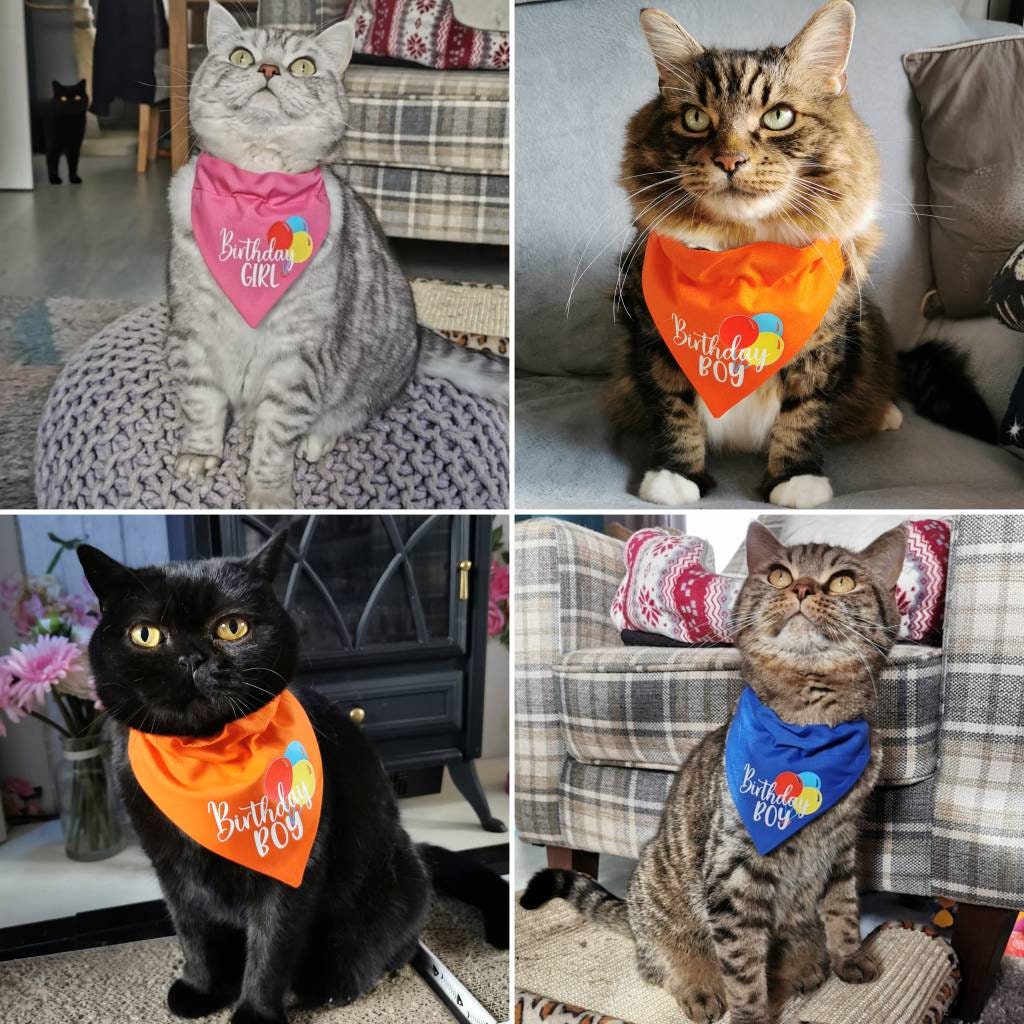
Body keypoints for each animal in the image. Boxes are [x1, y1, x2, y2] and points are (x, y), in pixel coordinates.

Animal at [76, 536, 507, 1024]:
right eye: (145, 634)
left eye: (233, 628)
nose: (192, 659)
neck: (208, 756)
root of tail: (413, 849)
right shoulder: (172, 871)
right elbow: (193, 934)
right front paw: (203, 989)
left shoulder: (294, 874)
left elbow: (271, 949)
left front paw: (254, 1014)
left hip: (398, 885)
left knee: (395, 946)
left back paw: (343, 981)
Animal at [169, 2, 505, 505]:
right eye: (242, 57)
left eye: (303, 66)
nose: (268, 70)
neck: (255, 195)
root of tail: (418, 335)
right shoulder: (194, 333)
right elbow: (201, 401)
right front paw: (199, 453)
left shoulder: (299, 355)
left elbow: (275, 439)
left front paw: (268, 493)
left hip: (369, 380)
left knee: (352, 412)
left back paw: (317, 436)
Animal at [520, 524, 905, 1024]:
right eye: (779, 575)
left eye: (842, 581)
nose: (802, 588)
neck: (809, 727)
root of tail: (631, 913)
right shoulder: (735, 873)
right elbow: (742, 965)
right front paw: (751, 1017)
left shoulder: (840, 849)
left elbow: (843, 912)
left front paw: (849, 956)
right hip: (660, 903)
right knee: (662, 960)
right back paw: (699, 986)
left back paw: (803, 966)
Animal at [606, 1, 991, 507]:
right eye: (695, 119)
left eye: (778, 117)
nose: (729, 161)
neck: (742, 252)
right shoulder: (653, 341)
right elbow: (675, 411)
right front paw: (675, 477)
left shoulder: (825, 343)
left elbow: (803, 415)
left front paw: (796, 481)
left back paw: (886, 413)